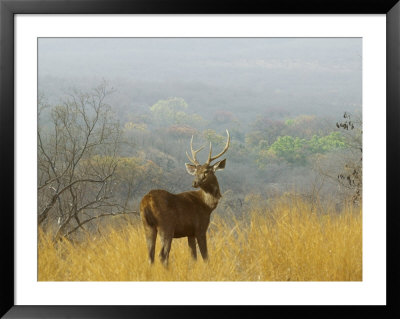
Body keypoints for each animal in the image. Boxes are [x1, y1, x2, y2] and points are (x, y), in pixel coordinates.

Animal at [140, 130, 230, 268]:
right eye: (196, 172)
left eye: (206, 171)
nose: (194, 182)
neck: (207, 206)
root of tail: (146, 202)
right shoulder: (200, 228)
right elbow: (205, 256)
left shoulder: (189, 232)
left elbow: (193, 257)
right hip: (166, 225)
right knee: (162, 255)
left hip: (147, 226)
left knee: (150, 255)